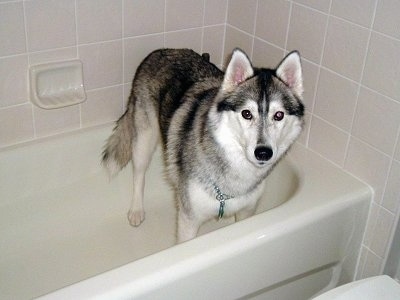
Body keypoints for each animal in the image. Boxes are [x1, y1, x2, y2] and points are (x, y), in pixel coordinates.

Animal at [101, 48, 304, 243]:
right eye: (246, 113)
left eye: (279, 115)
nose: (263, 152)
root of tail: (161, 51)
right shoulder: (188, 221)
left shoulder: (246, 213)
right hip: (144, 141)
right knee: (139, 175)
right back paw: (136, 209)